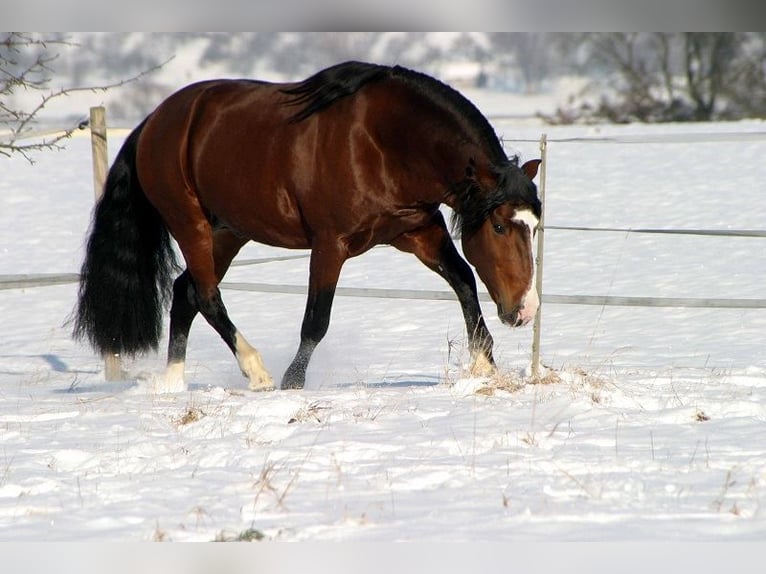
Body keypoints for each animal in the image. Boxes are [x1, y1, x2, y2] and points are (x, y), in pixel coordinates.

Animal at [73, 61, 542, 392]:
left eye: (534, 227)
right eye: (500, 227)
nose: (526, 311)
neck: (383, 142)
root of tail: (153, 122)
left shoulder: (416, 232)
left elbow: (463, 280)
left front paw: (484, 365)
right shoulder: (330, 244)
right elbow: (316, 320)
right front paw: (292, 383)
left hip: (229, 232)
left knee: (185, 292)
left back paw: (173, 382)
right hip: (190, 224)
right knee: (206, 296)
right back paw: (257, 373)